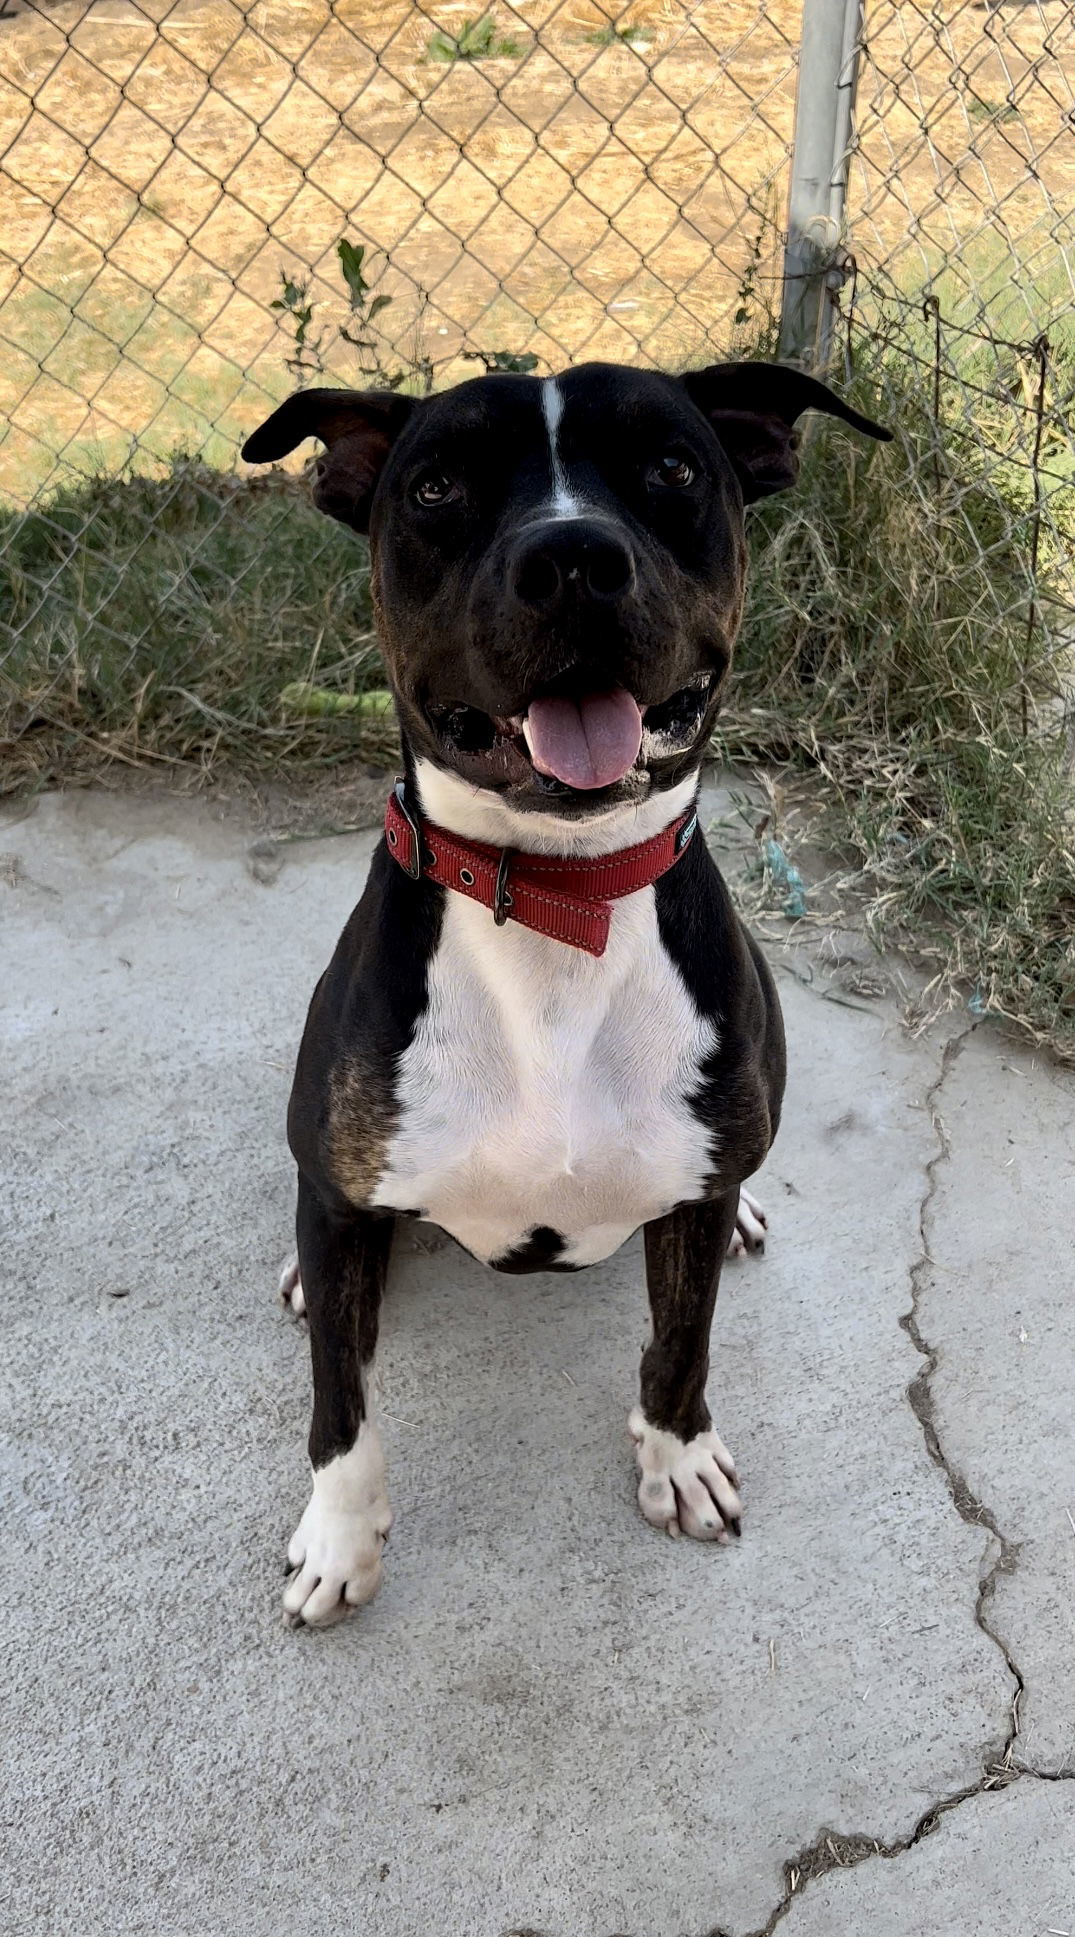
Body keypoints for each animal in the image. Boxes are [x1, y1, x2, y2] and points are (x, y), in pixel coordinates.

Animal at [244, 360, 890, 1619]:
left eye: (672, 466)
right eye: (436, 486)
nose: (573, 557)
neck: (556, 897)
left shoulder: (685, 1200)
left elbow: (680, 1342)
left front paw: (677, 1456)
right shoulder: (343, 1197)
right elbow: (341, 1400)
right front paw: (340, 1538)